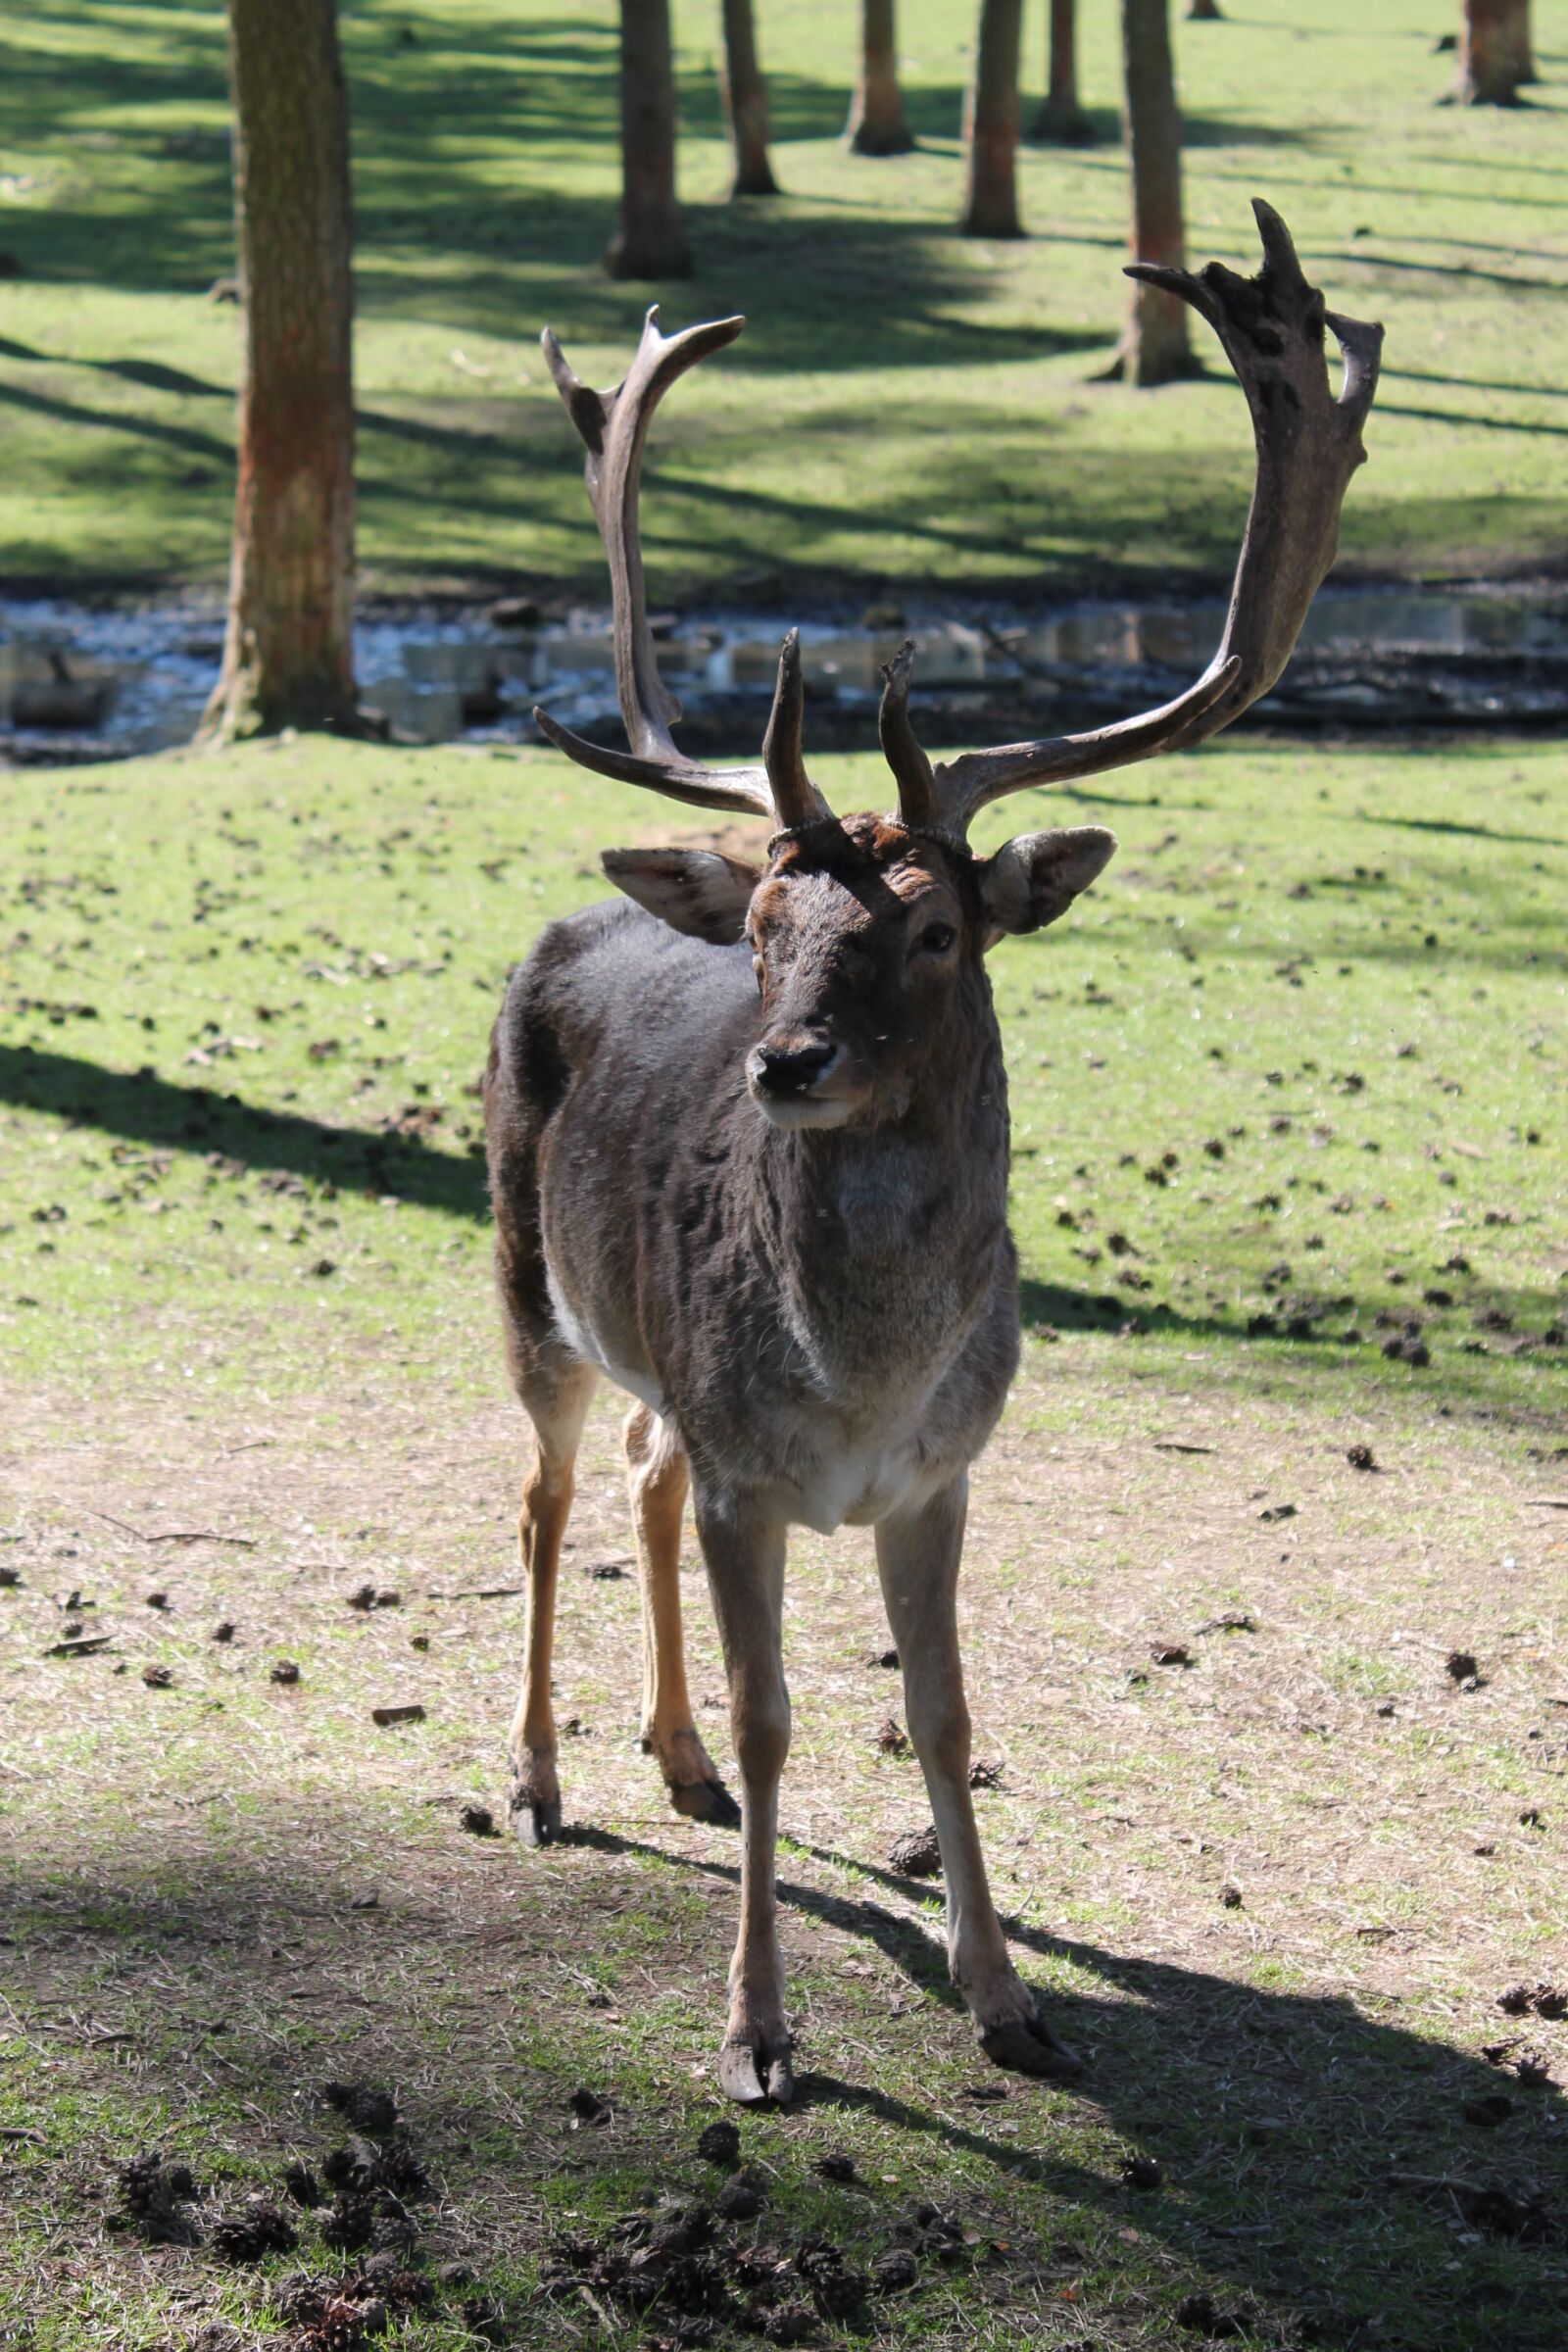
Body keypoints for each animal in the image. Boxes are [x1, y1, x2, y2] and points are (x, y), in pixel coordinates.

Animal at [483, 203, 1380, 2103]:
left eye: (940, 930)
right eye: (766, 922)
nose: (785, 1063)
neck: (862, 1387)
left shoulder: (947, 1470)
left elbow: (942, 1712)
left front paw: (1009, 1997)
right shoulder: (755, 1472)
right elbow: (785, 1712)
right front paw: (755, 2031)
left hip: (658, 1366)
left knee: (640, 1472)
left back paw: (672, 1761)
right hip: (530, 1291)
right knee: (543, 1493)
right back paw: (536, 1779)